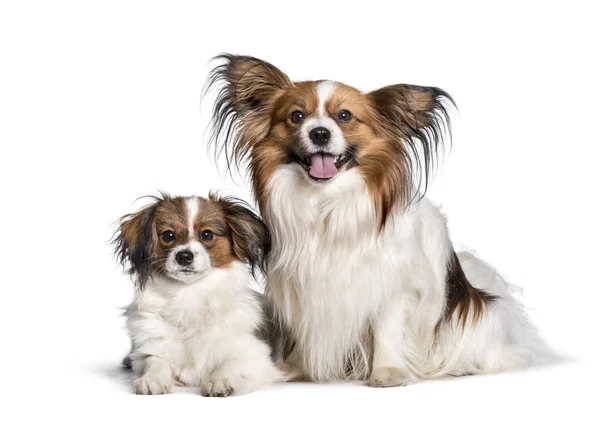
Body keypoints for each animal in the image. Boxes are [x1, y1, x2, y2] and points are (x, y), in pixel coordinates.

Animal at [113, 194, 286, 396]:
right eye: (168, 235)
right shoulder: (152, 347)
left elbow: (230, 366)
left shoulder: (255, 356)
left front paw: (219, 381)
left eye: (207, 234)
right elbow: (155, 361)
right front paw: (151, 379)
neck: (188, 293)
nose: (184, 256)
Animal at [204, 53, 556, 388]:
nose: (320, 133)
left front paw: (387, 372)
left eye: (345, 116)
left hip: (477, 319)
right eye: (297, 116)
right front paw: (296, 368)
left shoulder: (392, 286)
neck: (326, 202)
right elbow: (307, 329)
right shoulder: (303, 288)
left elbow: (386, 330)